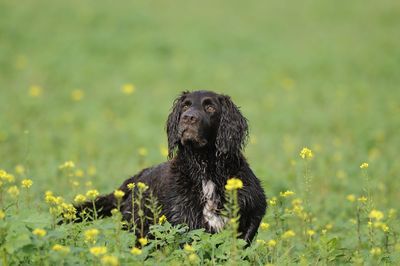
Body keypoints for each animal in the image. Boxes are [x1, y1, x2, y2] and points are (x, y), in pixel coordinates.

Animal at [76, 91, 268, 243]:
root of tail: (135, 178)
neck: (206, 169)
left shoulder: (253, 210)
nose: (188, 117)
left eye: (210, 107)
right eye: (185, 106)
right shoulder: (184, 220)